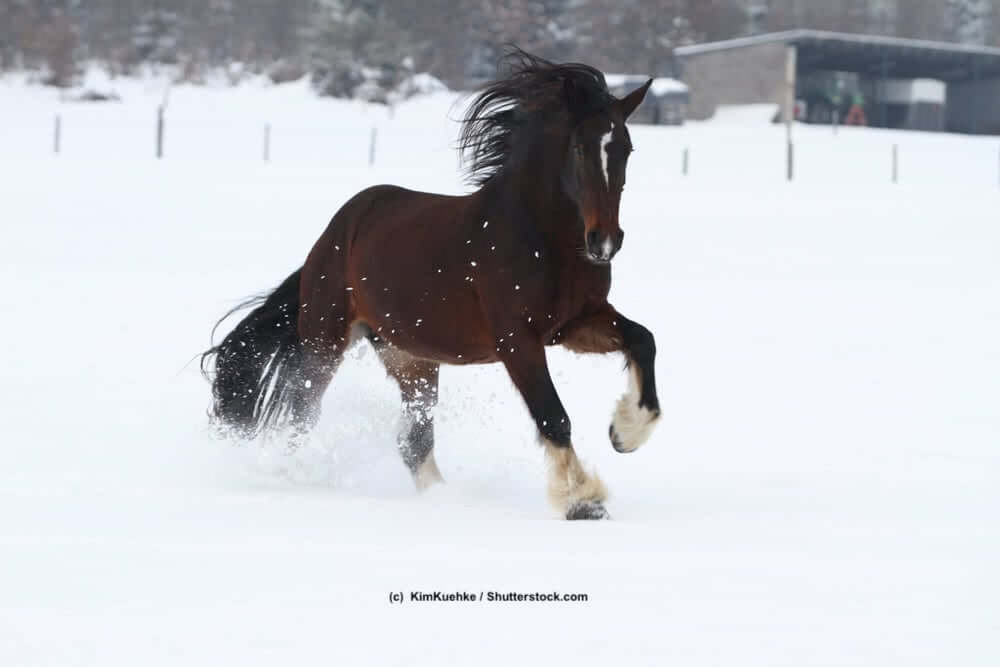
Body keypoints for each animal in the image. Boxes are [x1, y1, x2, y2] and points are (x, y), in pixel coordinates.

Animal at [202, 50, 661, 520]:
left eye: (626, 148)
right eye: (580, 147)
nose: (604, 242)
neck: (544, 241)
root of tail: (331, 237)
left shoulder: (576, 323)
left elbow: (643, 339)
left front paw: (625, 432)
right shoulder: (517, 339)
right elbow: (553, 415)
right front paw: (583, 500)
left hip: (409, 359)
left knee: (413, 438)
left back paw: (442, 497)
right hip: (325, 344)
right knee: (303, 415)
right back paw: (295, 478)